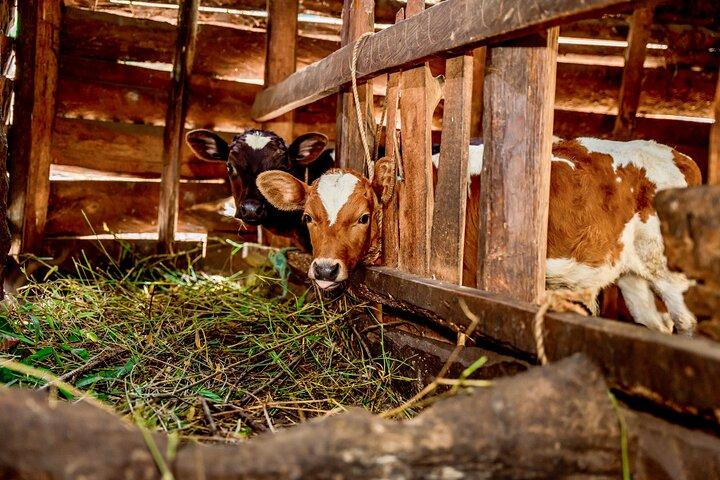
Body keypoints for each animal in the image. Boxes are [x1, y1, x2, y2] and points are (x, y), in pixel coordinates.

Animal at [257, 137, 701, 335]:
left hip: (670, 271)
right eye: (308, 217)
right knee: (656, 322)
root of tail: (675, 153)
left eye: (364, 217)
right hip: (631, 274)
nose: (325, 269)